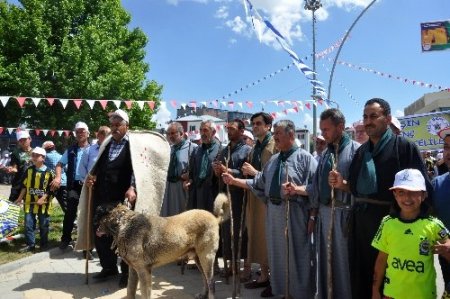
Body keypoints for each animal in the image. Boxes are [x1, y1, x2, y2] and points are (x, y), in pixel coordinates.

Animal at [94, 193, 229, 299]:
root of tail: (214, 218)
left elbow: (145, 294)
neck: (123, 222)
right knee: (205, 279)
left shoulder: (144, 271)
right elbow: (130, 291)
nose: (93, 221)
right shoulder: (133, 270)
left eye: (98, 211)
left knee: (211, 282)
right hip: (198, 259)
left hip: (206, 258)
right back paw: (203, 294)